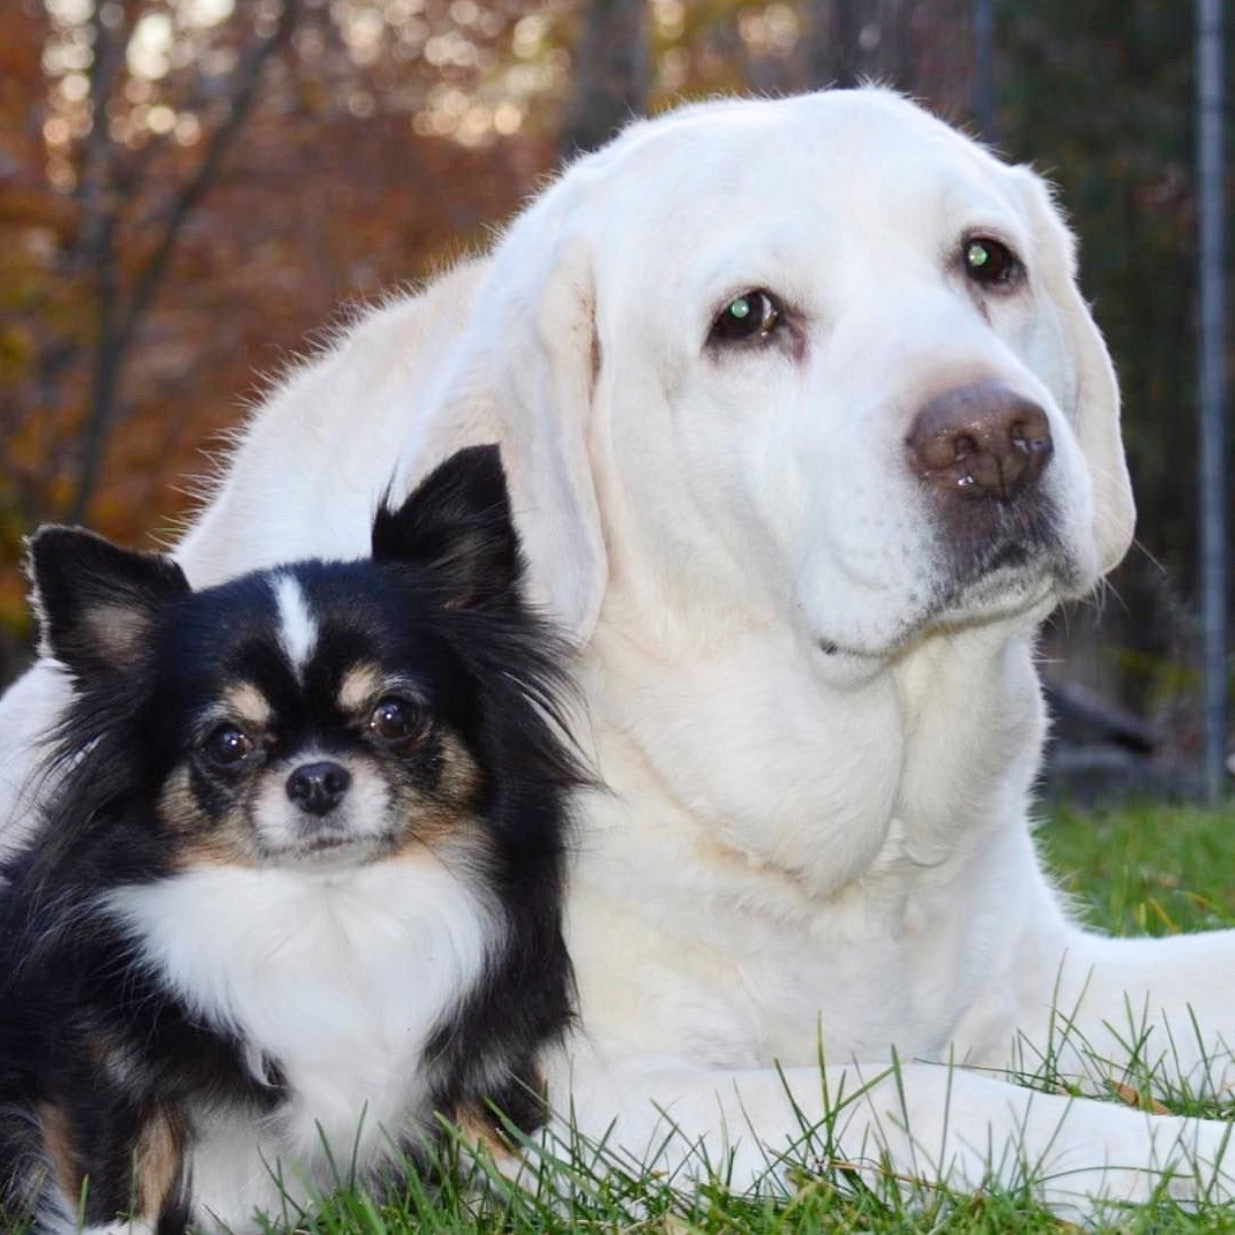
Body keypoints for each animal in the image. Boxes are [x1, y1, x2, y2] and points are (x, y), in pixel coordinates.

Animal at [2, 87, 1235, 1215]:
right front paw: (1192, 1158)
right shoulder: (569, 1109)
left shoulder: (1040, 980)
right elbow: (921, 1095)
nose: (993, 439)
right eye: (745, 317)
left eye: (987, 260)